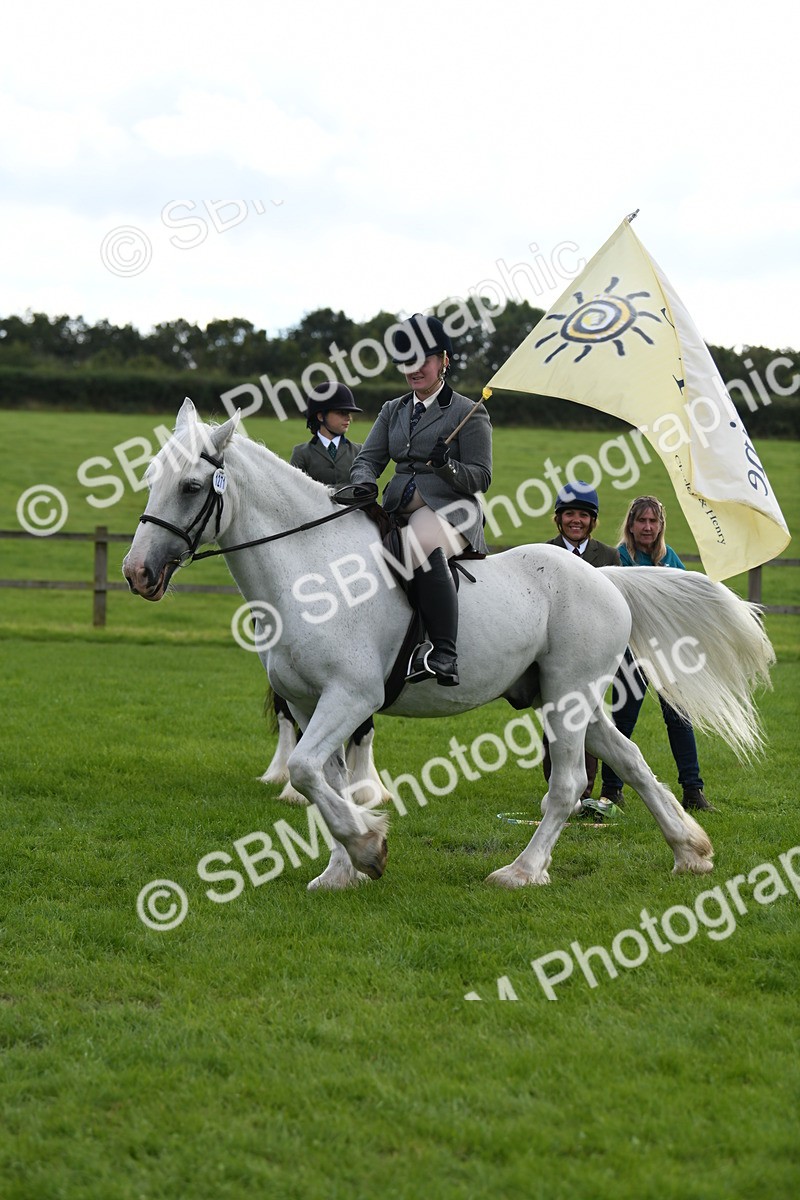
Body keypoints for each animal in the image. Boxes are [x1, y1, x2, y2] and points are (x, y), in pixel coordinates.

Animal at [122, 399, 774, 891]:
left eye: (190, 486)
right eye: (153, 481)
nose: (137, 574)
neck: (313, 573)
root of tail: (604, 576)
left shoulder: (349, 698)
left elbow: (309, 772)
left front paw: (369, 848)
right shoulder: (310, 704)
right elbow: (321, 783)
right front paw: (342, 871)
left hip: (567, 697)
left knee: (567, 785)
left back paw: (521, 872)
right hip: (569, 697)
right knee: (631, 760)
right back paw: (690, 851)